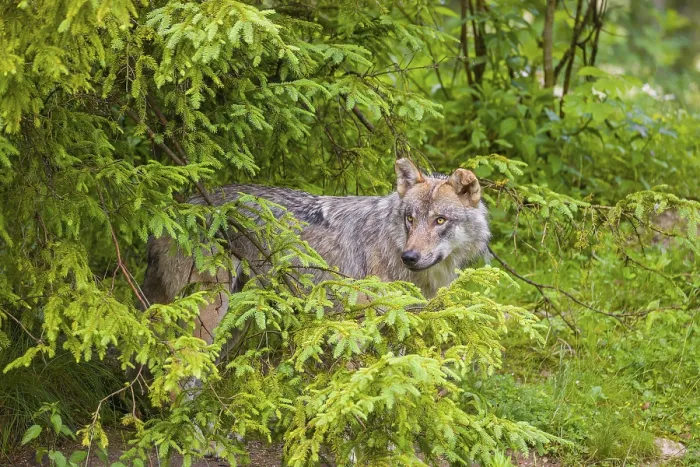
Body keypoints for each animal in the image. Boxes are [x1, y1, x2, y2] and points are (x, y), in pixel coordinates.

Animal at [141, 158, 490, 344]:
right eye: (410, 219)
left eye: (439, 220)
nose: (410, 257)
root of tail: (170, 212)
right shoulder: (357, 324)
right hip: (209, 316)